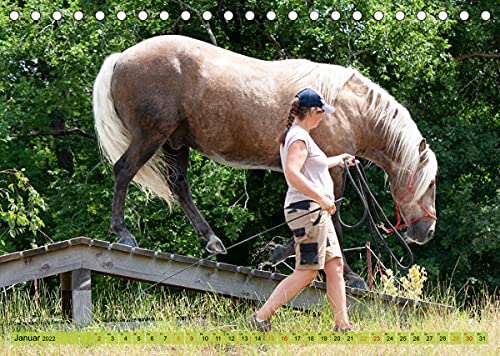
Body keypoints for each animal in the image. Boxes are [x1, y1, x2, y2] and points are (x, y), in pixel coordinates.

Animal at [94, 34, 438, 290]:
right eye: (431, 183)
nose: (428, 231)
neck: (349, 109)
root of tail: (120, 58)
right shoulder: (332, 169)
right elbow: (333, 217)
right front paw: (350, 277)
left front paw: (278, 252)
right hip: (151, 136)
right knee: (123, 171)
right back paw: (123, 233)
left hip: (174, 144)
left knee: (178, 186)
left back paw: (212, 240)